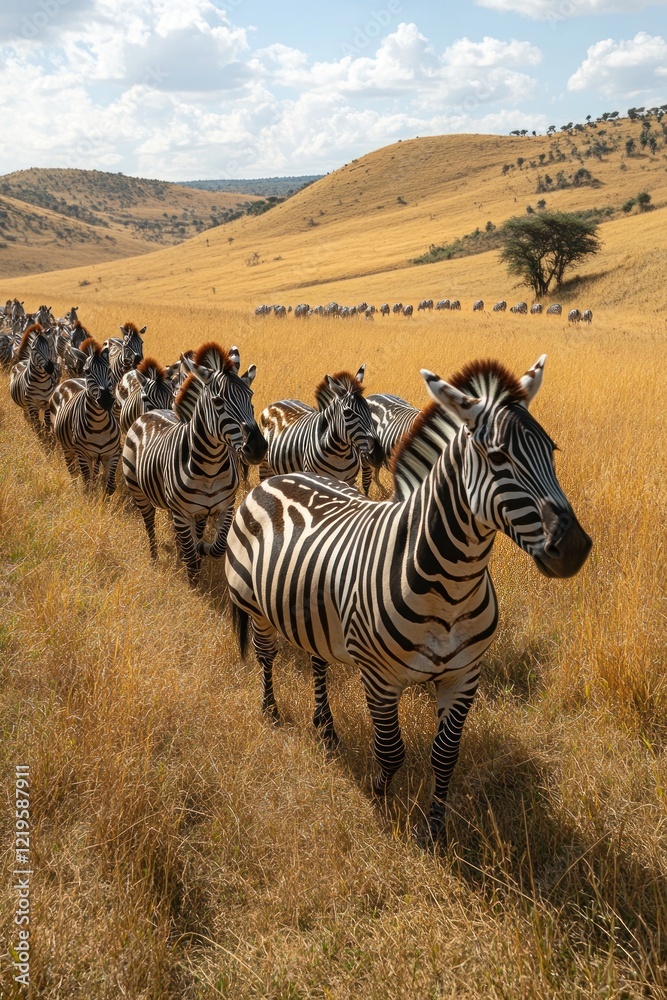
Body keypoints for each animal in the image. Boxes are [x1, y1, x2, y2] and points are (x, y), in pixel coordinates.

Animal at [49, 341, 121, 493]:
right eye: (88, 371)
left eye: (109, 370)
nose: (106, 400)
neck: (99, 424)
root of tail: (71, 380)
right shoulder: (83, 455)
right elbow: (87, 485)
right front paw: (90, 498)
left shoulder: (112, 455)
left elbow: (110, 486)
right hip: (67, 448)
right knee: (73, 471)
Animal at [122, 342, 266, 581]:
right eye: (218, 401)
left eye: (251, 397)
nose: (258, 448)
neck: (210, 469)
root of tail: (151, 412)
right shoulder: (183, 513)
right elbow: (190, 556)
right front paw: (193, 581)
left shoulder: (225, 506)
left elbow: (217, 546)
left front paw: (201, 550)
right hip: (138, 491)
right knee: (149, 524)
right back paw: (154, 557)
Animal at [225, 355, 592, 843]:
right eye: (498, 457)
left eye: (551, 450)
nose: (575, 548)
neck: (451, 588)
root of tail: (279, 476)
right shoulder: (380, 679)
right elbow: (391, 750)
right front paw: (378, 802)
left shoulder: (464, 677)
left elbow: (445, 756)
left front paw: (433, 830)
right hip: (255, 605)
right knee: (266, 656)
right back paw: (270, 711)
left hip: (312, 612)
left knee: (317, 660)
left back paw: (326, 727)